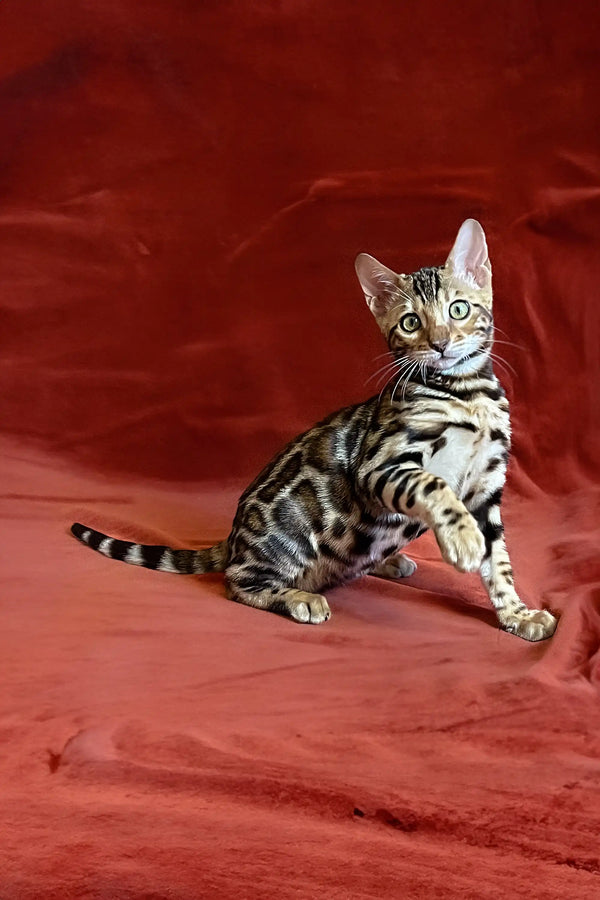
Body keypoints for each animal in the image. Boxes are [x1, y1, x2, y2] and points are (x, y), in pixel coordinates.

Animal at [70, 217, 556, 640]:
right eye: (410, 322)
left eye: (458, 309)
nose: (439, 344)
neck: (467, 394)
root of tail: (233, 539)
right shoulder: (380, 465)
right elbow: (435, 485)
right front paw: (463, 540)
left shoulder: (487, 490)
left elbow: (500, 563)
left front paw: (517, 614)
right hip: (285, 540)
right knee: (237, 581)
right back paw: (297, 597)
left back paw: (388, 564)